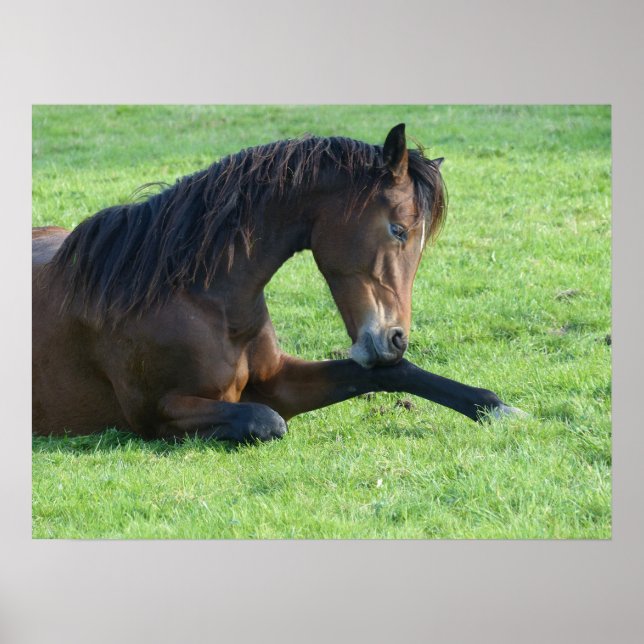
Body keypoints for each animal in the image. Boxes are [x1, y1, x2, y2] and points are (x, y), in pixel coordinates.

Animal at [32, 123, 523, 443]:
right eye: (398, 229)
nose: (396, 338)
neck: (201, 299)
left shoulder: (280, 379)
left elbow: (393, 373)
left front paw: (498, 408)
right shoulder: (155, 414)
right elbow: (265, 421)